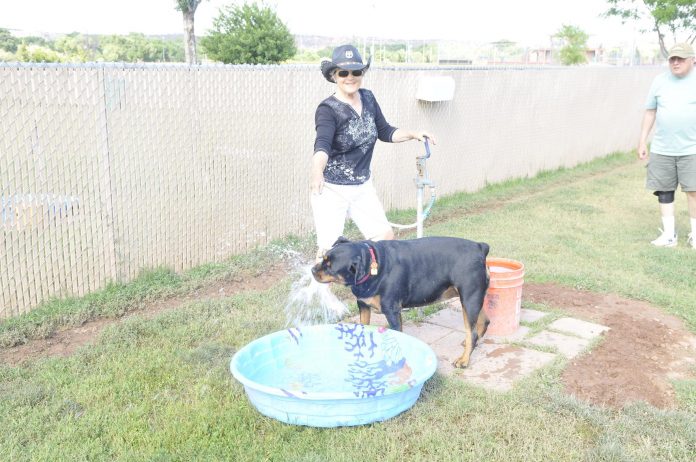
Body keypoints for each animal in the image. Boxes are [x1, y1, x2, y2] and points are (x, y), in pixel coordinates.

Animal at [312, 236, 492, 366]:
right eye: (323, 258)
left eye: (330, 266)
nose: (313, 270)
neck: (372, 266)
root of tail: (479, 247)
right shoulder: (362, 305)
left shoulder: (391, 310)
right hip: (473, 298)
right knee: (483, 322)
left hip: (469, 298)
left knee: (471, 331)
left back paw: (464, 359)